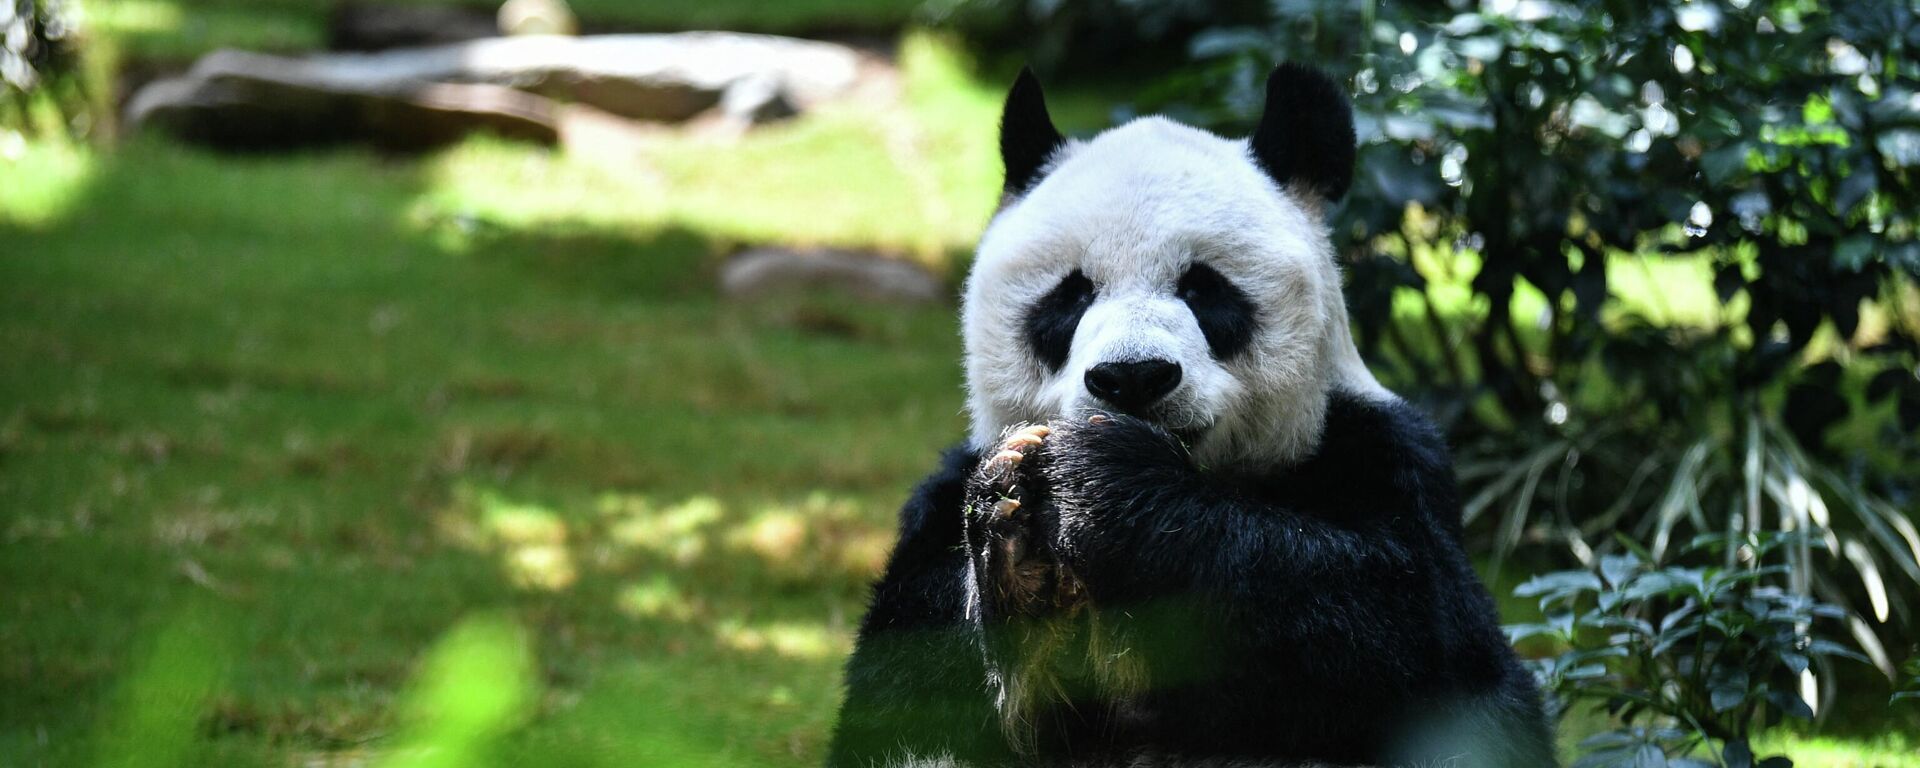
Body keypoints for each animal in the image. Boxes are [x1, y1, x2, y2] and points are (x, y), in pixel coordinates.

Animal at [827, 64, 1558, 768]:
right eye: (1071, 295)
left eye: (1205, 288)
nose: (1132, 377)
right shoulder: (935, 516)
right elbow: (905, 689)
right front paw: (1015, 545)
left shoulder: (1381, 455)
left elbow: (1409, 626)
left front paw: (1105, 481)